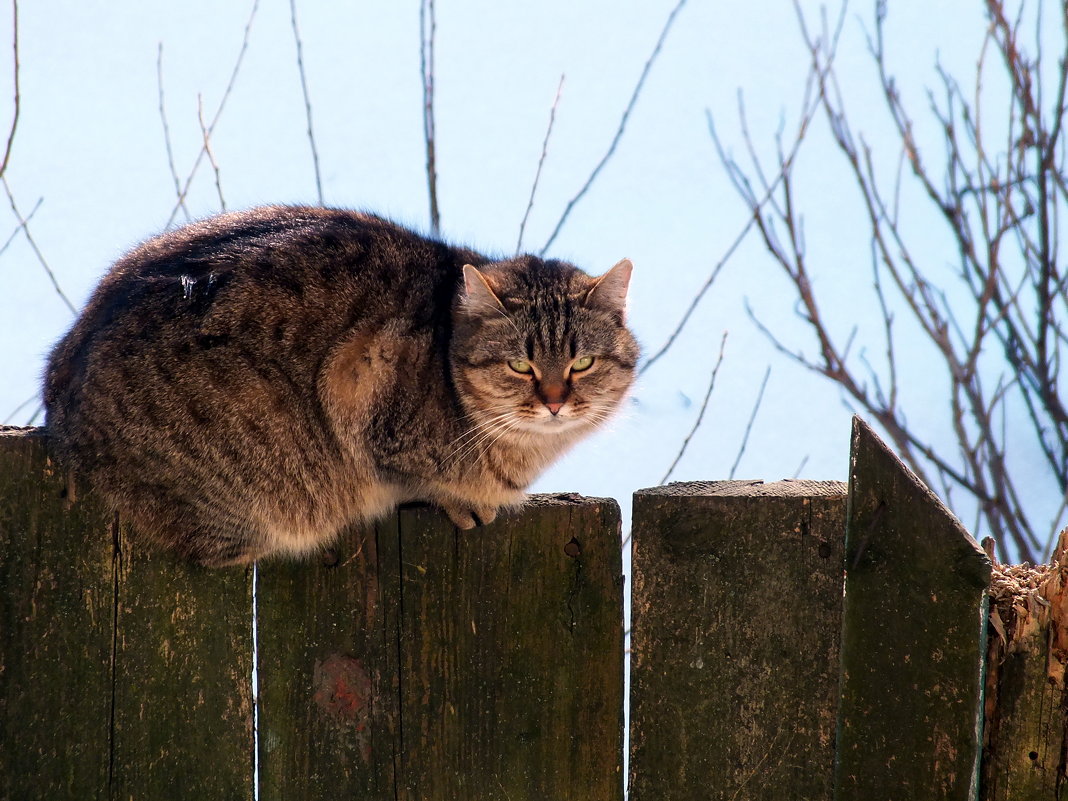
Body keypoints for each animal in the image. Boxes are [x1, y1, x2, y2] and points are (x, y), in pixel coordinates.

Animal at [41, 207, 636, 572]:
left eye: (582, 362)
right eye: (519, 365)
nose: (555, 402)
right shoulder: (360, 379)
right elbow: (411, 475)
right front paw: (461, 501)